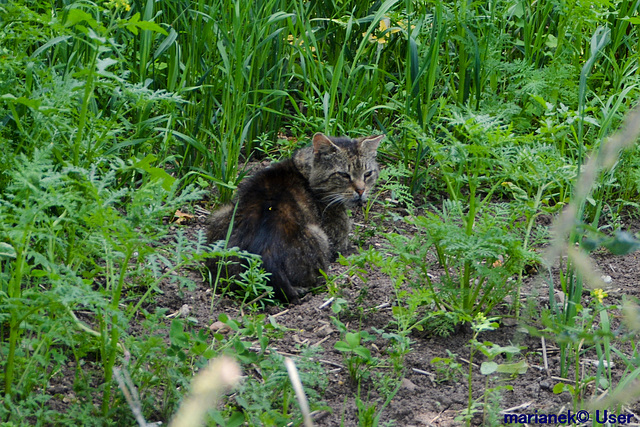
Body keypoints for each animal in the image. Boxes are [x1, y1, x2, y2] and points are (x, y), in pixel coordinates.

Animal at [208, 134, 382, 304]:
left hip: (220, 214)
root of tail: (265, 253)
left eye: (368, 174)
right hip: (319, 237)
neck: (303, 168)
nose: (361, 190)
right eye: (344, 175)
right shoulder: (340, 242)